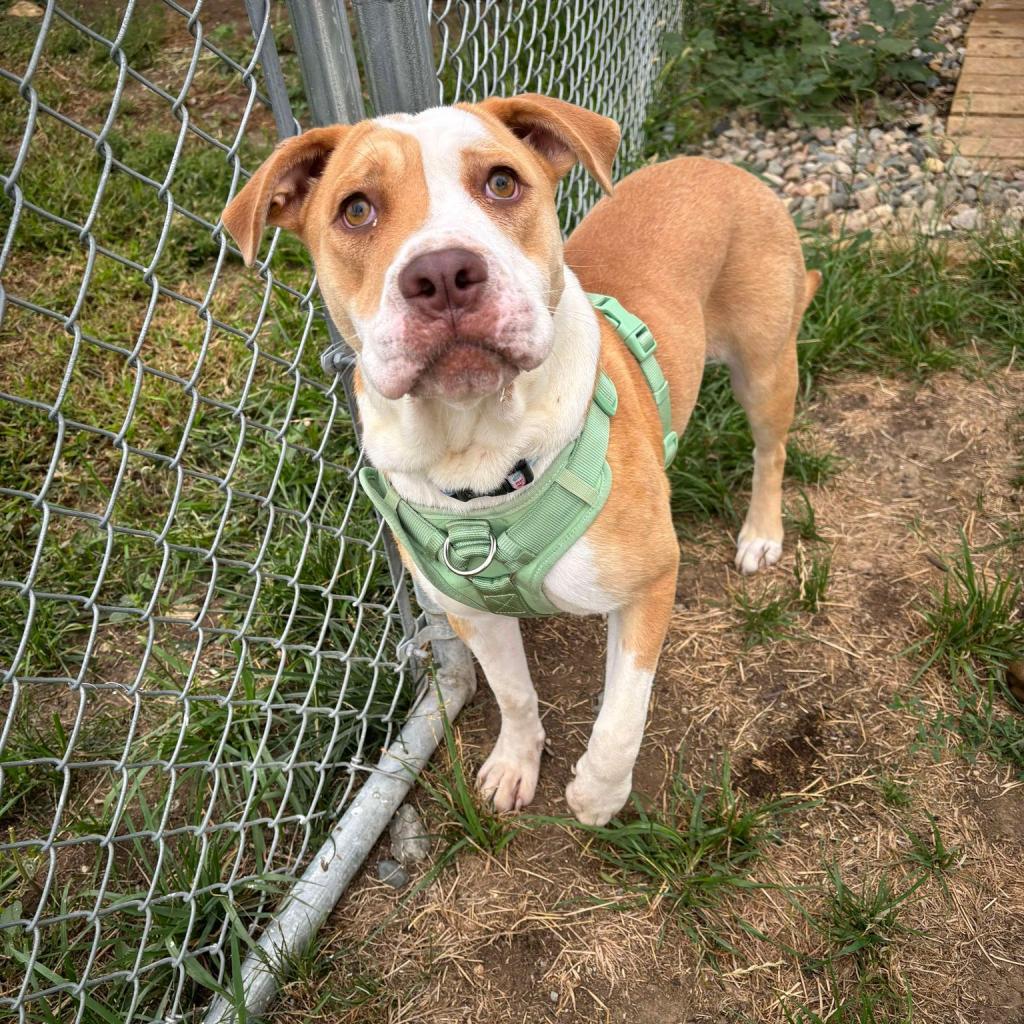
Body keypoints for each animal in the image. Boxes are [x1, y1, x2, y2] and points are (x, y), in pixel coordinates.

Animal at [220, 94, 819, 823]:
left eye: (502, 182)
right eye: (355, 209)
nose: (442, 274)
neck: (480, 457)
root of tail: (715, 165)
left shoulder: (650, 581)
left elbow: (623, 711)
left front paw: (599, 793)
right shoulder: (471, 612)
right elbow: (513, 692)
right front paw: (515, 762)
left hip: (765, 368)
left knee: (771, 450)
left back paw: (761, 533)